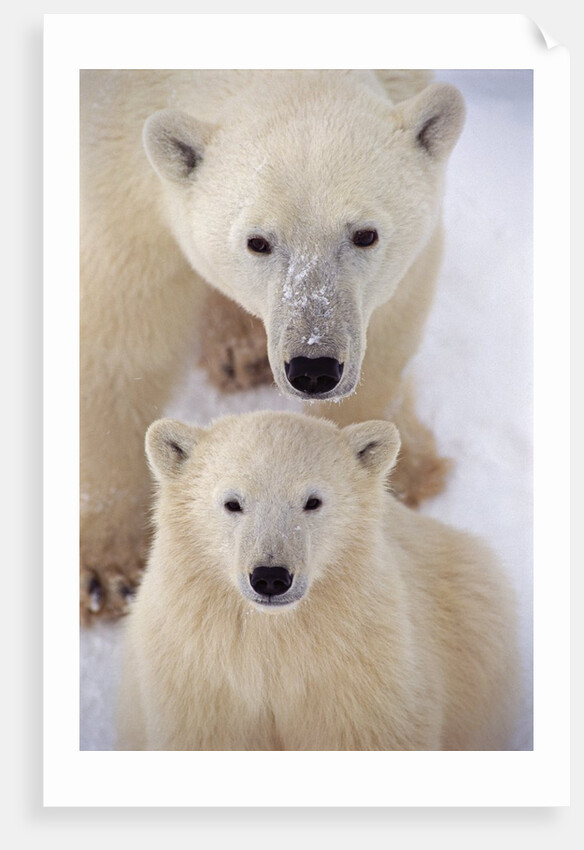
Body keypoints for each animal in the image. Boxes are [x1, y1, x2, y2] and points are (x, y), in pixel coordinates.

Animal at [80, 70, 465, 622]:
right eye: (257, 241)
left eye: (365, 234)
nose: (314, 367)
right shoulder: (113, 164)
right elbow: (120, 338)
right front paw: (107, 573)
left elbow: (393, 312)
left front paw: (398, 476)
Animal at [115, 411, 519, 751]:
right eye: (232, 502)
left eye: (312, 501)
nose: (271, 577)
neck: (276, 640)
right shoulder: (201, 676)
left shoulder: (362, 670)